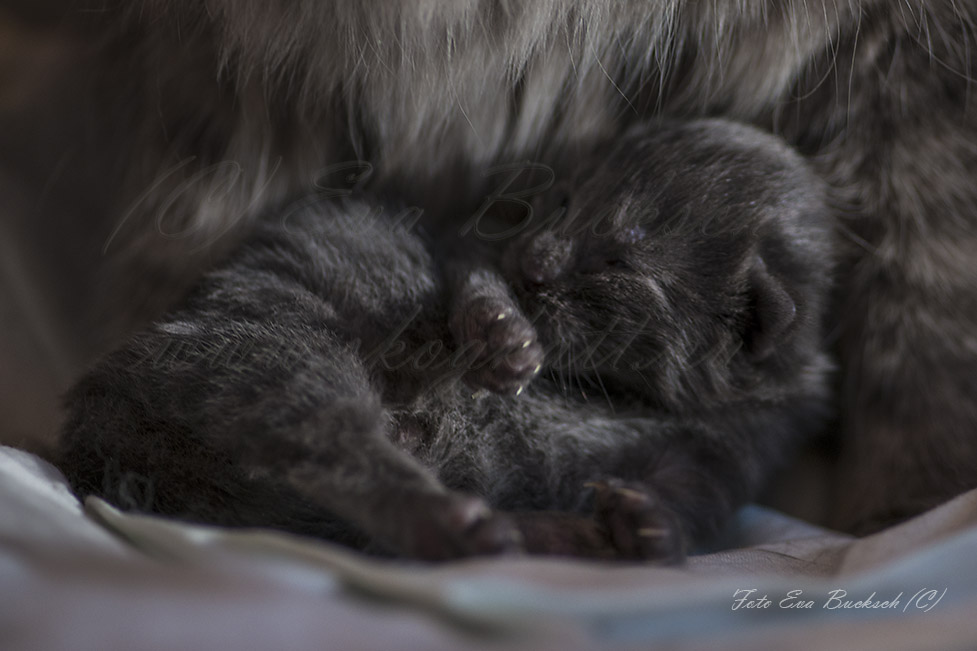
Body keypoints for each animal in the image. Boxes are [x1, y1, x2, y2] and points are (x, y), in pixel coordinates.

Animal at [55, 121, 832, 560]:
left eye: (620, 261)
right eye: (564, 201)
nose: (537, 262)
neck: (615, 389)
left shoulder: (734, 448)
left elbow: (696, 498)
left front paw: (649, 527)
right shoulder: (465, 239)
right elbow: (471, 269)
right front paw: (503, 332)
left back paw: (543, 532)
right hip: (268, 350)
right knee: (329, 446)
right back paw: (452, 518)